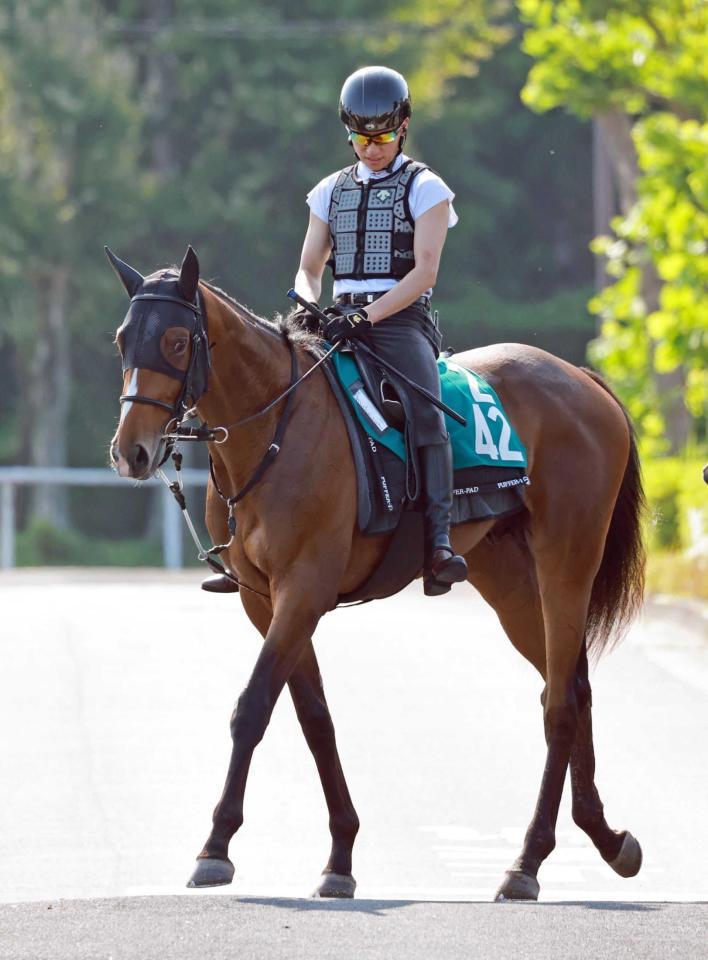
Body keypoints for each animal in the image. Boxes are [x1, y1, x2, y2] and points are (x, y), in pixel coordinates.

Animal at [108, 246, 644, 900]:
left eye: (179, 340)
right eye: (123, 339)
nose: (131, 451)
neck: (276, 429)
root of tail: (583, 381)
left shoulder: (303, 590)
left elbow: (253, 707)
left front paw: (216, 846)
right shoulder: (266, 601)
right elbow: (314, 719)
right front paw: (339, 855)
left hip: (567, 564)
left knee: (561, 704)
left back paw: (527, 861)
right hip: (514, 588)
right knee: (570, 687)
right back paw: (607, 838)